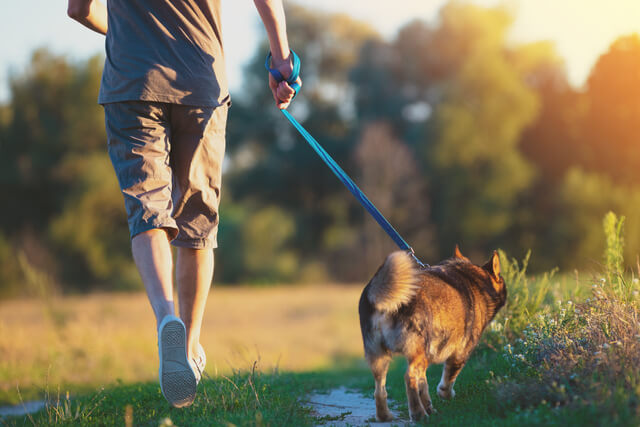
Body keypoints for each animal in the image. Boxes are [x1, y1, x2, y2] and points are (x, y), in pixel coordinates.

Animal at [360, 246, 504, 422]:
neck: (474, 280)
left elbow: (424, 385)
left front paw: (430, 407)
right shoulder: (460, 353)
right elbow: (448, 379)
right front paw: (445, 395)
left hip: (380, 357)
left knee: (379, 389)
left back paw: (385, 416)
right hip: (417, 353)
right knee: (409, 377)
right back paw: (418, 414)